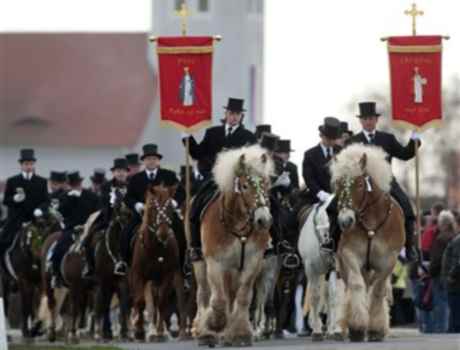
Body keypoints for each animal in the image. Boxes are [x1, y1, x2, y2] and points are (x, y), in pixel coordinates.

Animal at [2, 206, 61, 340]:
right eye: (47, 231)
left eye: (59, 229)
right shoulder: (24, 281)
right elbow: (26, 306)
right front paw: (26, 331)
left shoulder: (40, 282)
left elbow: (38, 303)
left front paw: (37, 327)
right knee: (6, 304)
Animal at [129, 185, 187, 344]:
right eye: (153, 208)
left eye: (170, 208)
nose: (163, 233)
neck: (156, 248)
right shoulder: (138, 275)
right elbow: (141, 301)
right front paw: (139, 331)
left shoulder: (168, 275)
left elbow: (162, 301)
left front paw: (161, 332)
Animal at [193, 145, 274, 348]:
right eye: (245, 186)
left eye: (266, 184)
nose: (263, 220)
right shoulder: (215, 262)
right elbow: (219, 299)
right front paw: (215, 324)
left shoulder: (253, 261)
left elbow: (243, 296)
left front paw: (240, 334)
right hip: (200, 263)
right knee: (204, 293)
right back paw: (205, 332)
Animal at [298, 197, 344, 342]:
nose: (328, 244)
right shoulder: (311, 269)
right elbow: (314, 296)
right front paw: (317, 332)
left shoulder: (334, 267)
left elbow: (335, 296)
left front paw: (336, 330)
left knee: (328, 296)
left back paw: (330, 329)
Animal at [328, 144, 404, 342]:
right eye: (337, 184)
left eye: (360, 184)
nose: (345, 221)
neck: (371, 222)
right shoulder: (349, 254)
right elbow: (356, 285)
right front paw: (356, 327)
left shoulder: (388, 261)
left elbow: (378, 290)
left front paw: (375, 330)